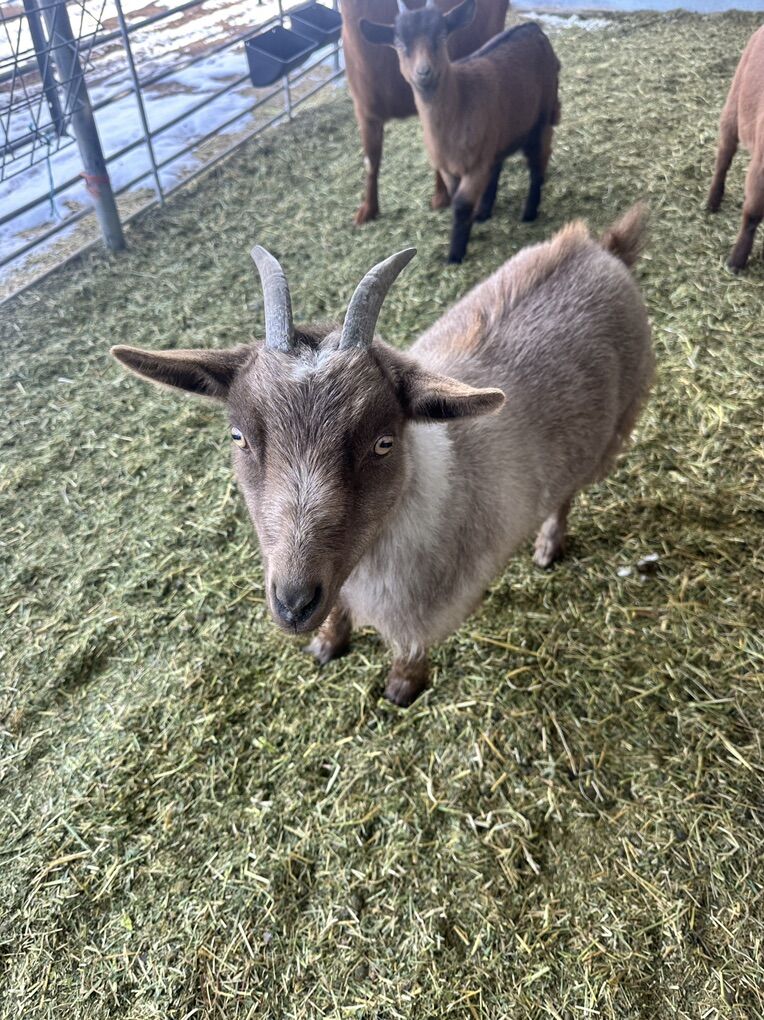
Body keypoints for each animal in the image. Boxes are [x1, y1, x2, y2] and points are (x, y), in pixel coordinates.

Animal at [112, 205, 653, 707]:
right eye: (239, 436)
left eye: (383, 443)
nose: (294, 604)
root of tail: (600, 247)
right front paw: (327, 643)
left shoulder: (424, 609)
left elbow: (411, 645)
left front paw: (402, 685)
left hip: (612, 431)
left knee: (567, 494)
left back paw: (547, 545)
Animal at [343, 0, 508, 225]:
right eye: (400, 44)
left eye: (441, 37)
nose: (423, 71)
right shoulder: (365, 110)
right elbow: (370, 161)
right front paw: (367, 211)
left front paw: (440, 197)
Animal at [361, 0, 560, 262]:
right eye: (400, 44)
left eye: (441, 35)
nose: (423, 72)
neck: (459, 104)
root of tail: (533, 28)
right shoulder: (448, 167)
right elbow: (456, 196)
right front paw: (469, 229)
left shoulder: (475, 166)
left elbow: (461, 204)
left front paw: (455, 255)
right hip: (501, 131)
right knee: (498, 164)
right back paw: (485, 211)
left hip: (542, 115)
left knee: (538, 161)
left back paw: (529, 213)